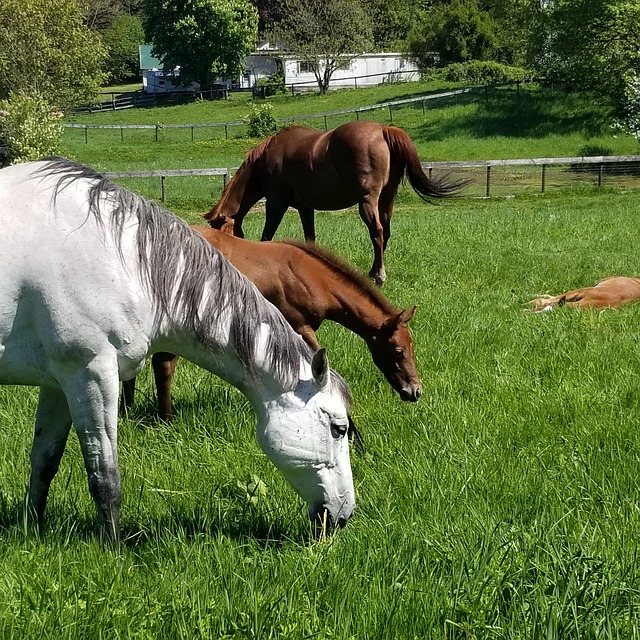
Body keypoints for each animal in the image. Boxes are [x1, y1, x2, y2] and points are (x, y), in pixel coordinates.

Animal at [0, 157, 355, 543]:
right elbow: (104, 477)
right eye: (338, 429)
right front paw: (113, 547)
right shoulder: (91, 375)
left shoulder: (58, 382)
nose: (344, 514)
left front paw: (30, 527)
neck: (122, 258)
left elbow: (45, 461)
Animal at [122, 226, 421, 422]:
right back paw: (165, 418)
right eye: (398, 352)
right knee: (163, 364)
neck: (313, 275)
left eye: (412, 347)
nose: (415, 391)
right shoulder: (300, 325)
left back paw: (129, 411)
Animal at [204, 120, 466, 285]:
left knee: (377, 232)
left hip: (367, 202)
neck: (264, 162)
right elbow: (309, 238)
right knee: (386, 232)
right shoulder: (305, 208)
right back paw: (373, 271)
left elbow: (266, 237)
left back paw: (379, 276)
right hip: (387, 199)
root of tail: (383, 130)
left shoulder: (276, 203)